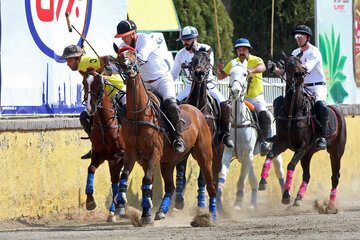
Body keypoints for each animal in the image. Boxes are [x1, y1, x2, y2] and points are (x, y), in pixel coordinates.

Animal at [82, 67, 126, 221]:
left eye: (99, 83)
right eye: (84, 83)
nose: (91, 107)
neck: (106, 123)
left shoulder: (120, 156)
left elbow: (115, 179)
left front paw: (116, 209)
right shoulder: (100, 155)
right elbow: (91, 169)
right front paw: (90, 201)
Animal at [112, 45, 215, 225]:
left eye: (133, 55)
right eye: (119, 56)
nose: (127, 66)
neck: (139, 113)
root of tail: (196, 109)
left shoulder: (155, 152)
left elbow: (147, 181)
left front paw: (145, 215)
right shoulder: (132, 153)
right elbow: (127, 177)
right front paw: (123, 207)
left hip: (204, 155)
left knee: (210, 184)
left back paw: (211, 216)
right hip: (169, 161)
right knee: (170, 186)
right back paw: (161, 211)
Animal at [174, 47, 225, 210]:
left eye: (208, 60)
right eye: (193, 60)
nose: (199, 73)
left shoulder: (205, 147)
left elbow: (203, 178)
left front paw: (201, 202)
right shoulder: (184, 146)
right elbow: (181, 174)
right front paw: (178, 201)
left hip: (218, 151)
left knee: (214, 175)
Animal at [218, 59, 286, 210]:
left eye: (245, 74)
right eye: (230, 73)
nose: (235, 92)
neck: (237, 122)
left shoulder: (248, 155)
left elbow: (241, 181)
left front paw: (237, 203)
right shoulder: (228, 153)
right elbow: (222, 175)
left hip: (274, 149)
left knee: (279, 171)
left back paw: (286, 195)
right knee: (253, 180)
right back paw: (253, 204)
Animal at [258, 54, 346, 212]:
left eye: (300, 62)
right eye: (287, 64)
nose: (299, 74)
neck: (293, 111)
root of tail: (337, 110)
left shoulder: (302, 146)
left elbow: (291, 165)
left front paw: (286, 195)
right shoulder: (282, 142)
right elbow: (270, 155)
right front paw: (263, 181)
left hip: (336, 152)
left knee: (335, 176)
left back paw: (330, 206)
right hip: (308, 153)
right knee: (307, 175)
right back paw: (299, 198)